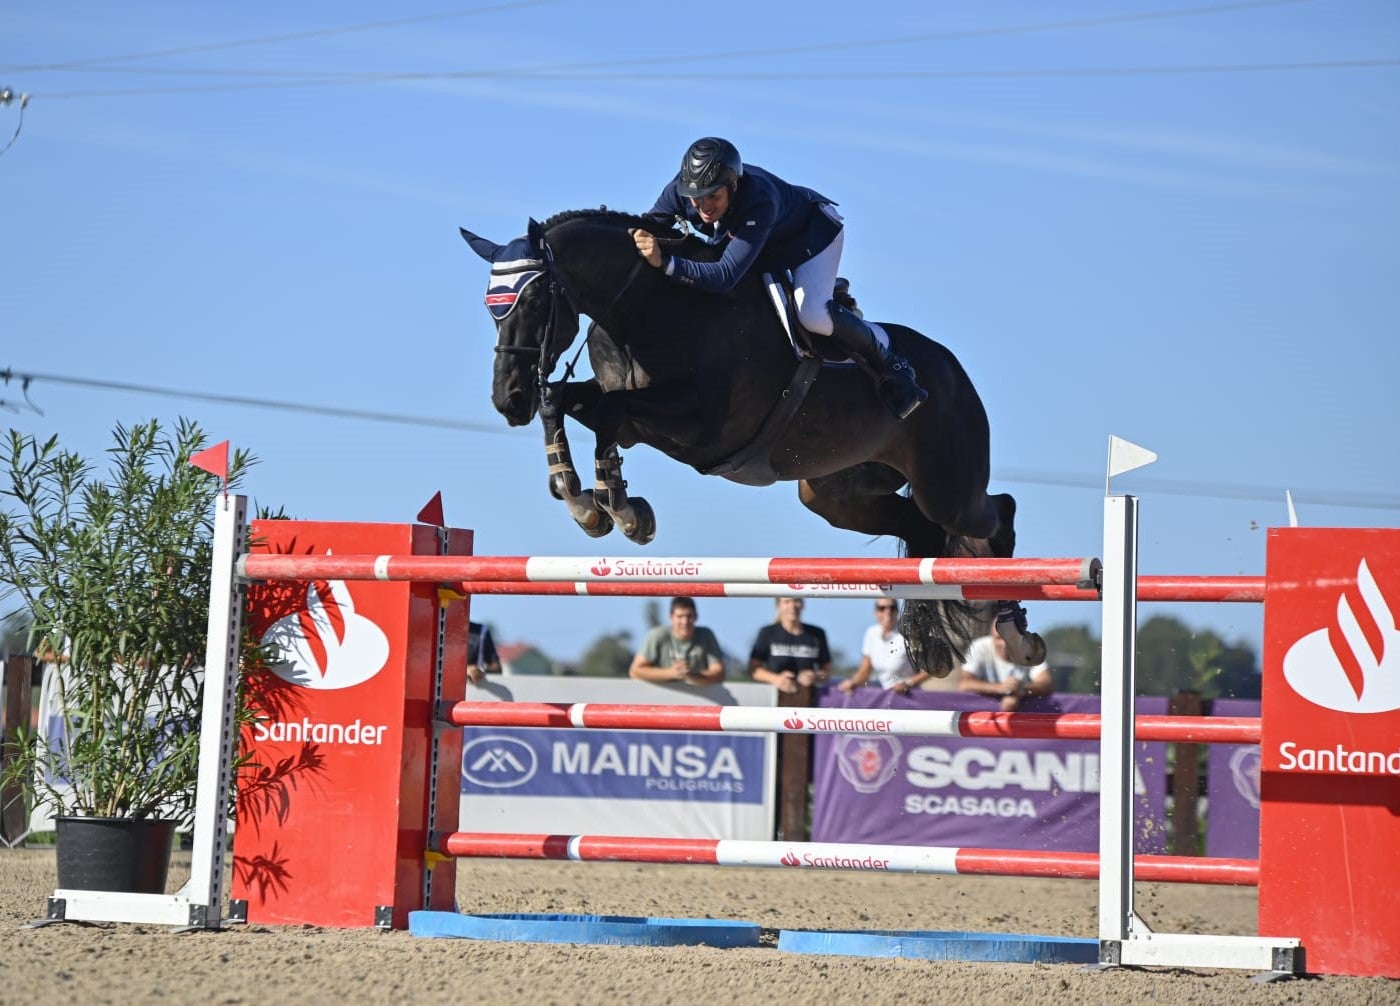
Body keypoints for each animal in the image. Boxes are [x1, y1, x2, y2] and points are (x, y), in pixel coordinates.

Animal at [464, 208, 1047, 677]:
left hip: (946, 486)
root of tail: (953, 370)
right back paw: (928, 641)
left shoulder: (703, 428)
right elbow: (561, 404)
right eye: (491, 307)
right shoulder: (630, 410)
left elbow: (607, 416)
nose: (507, 399)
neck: (650, 308)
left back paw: (1017, 636)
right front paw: (584, 502)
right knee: (921, 531)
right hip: (835, 497)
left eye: (533, 300)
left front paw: (624, 511)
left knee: (999, 512)